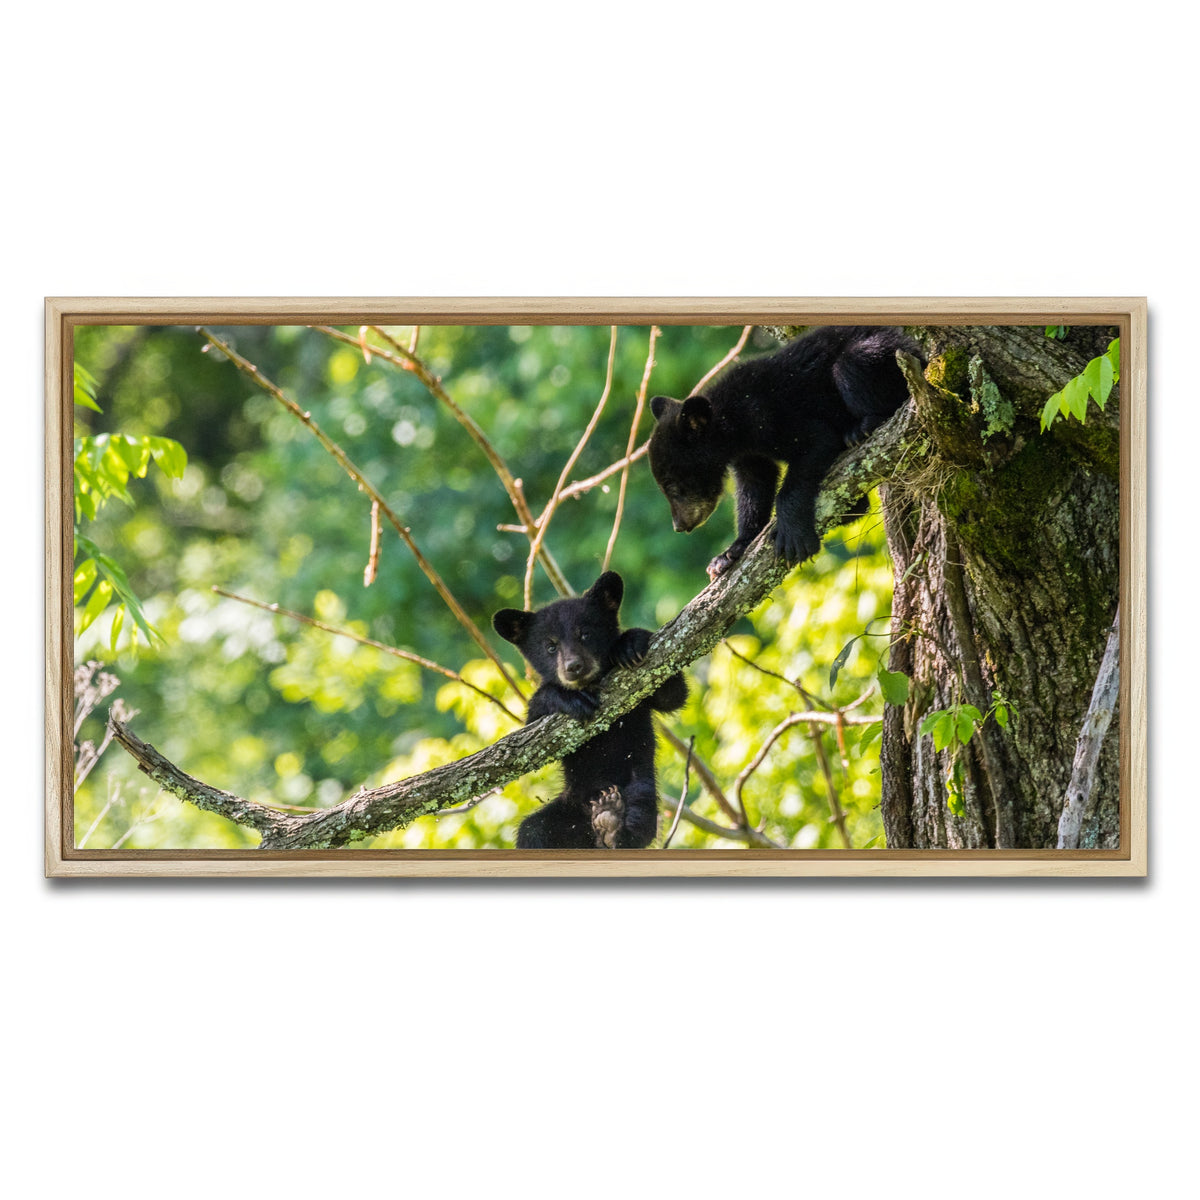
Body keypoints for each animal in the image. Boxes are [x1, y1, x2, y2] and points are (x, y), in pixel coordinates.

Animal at [492, 571, 688, 849]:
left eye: (585, 634)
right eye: (550, 646)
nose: (574, 667)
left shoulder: (641, 700)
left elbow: (672, 694)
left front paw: (628, 643)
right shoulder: (537, 729)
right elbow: (531, 733)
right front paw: (568, 698)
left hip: (640, 785)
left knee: (640, 817)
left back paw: (612, 824)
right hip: (563, 812)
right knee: (532, 830)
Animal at [648, 325, 916, 581]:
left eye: (674, 487)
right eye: (664, 488)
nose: (680, 525)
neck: (733, 425)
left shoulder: (770, 416)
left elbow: (816, 440)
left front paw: (793, 536)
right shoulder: (748, 453)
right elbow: (755, 485)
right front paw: (730, 553)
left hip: (883, 356)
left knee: (852, 363)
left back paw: (862, 428)